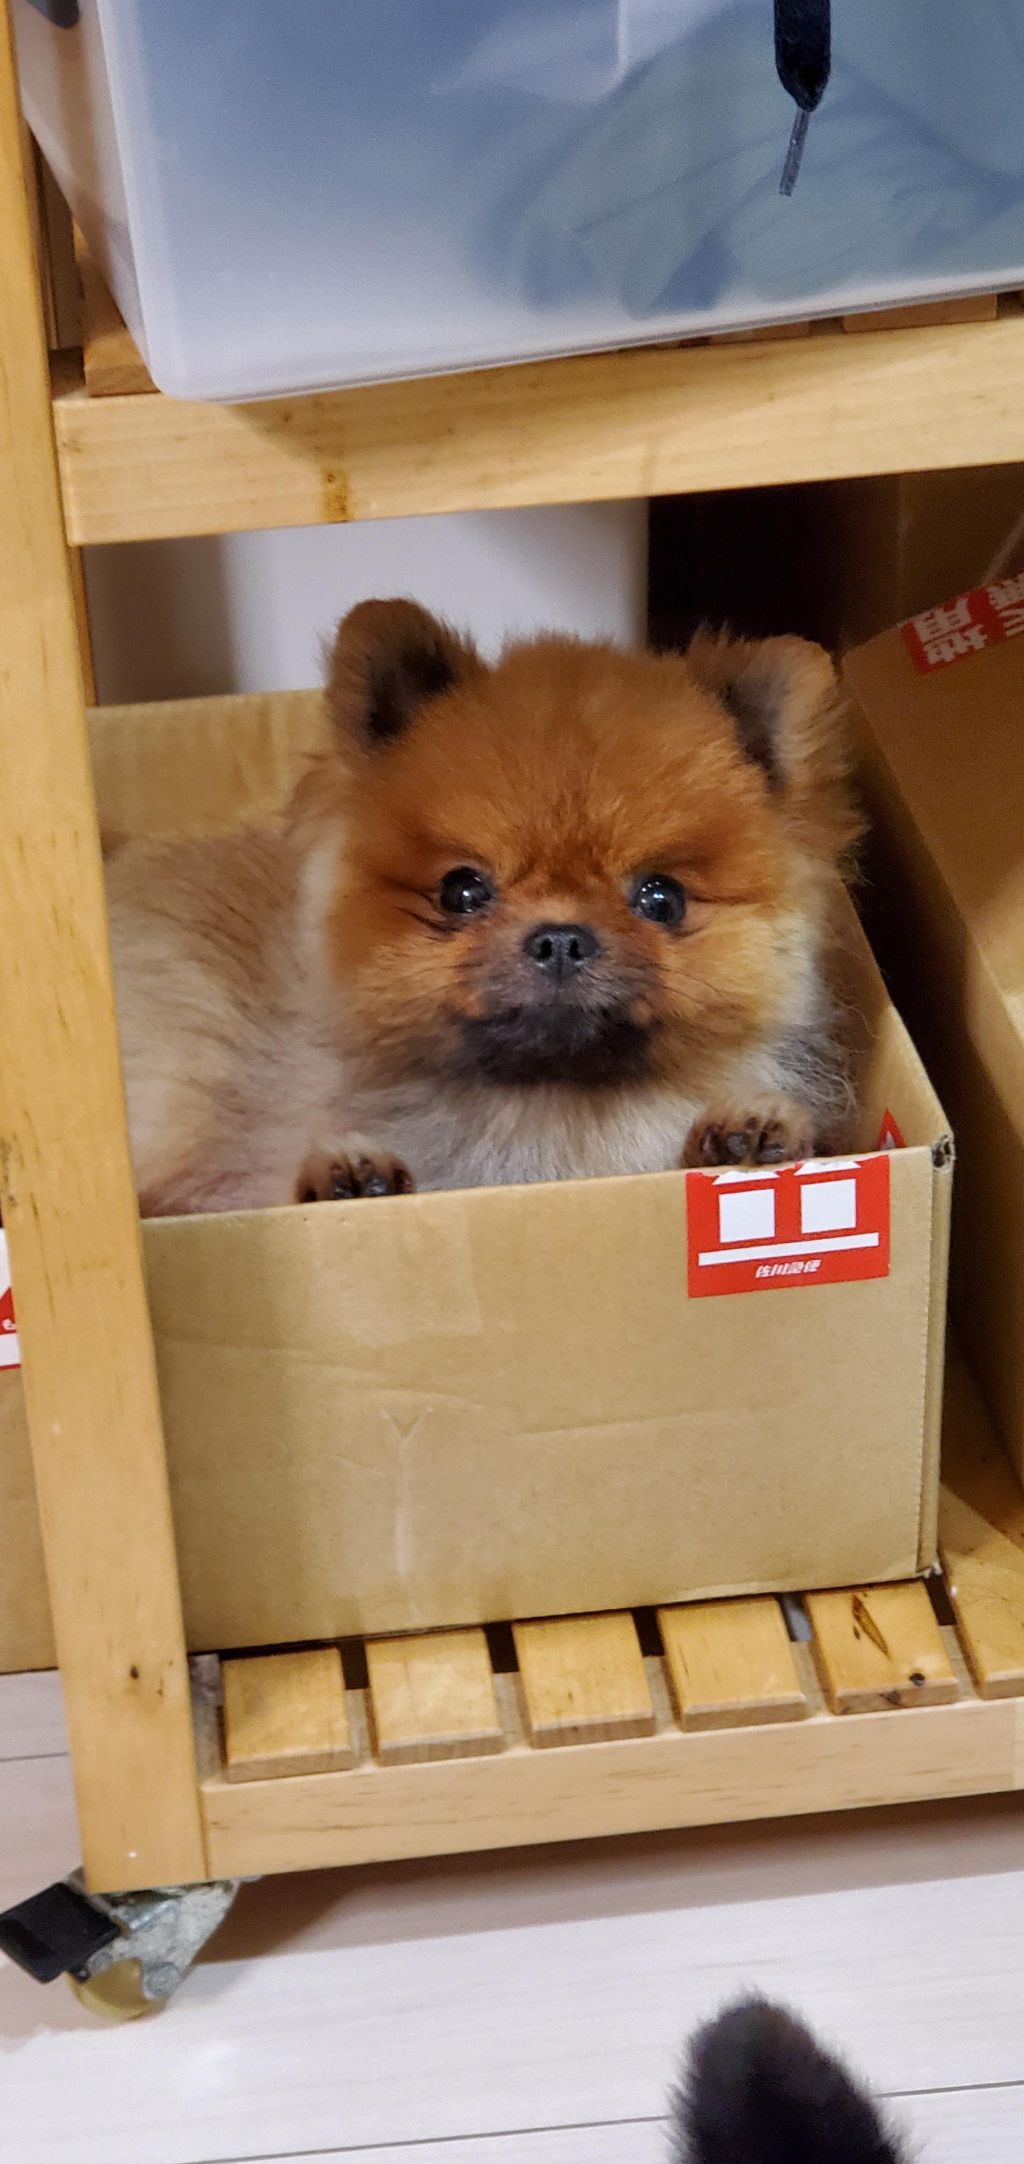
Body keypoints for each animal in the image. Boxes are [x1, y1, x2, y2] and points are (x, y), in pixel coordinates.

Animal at [105, 600, 858, 1216]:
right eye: (462, 891)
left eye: (661, 898)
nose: (560, 938)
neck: (551, 1119)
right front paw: (349, 1175)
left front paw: (746, 1132)